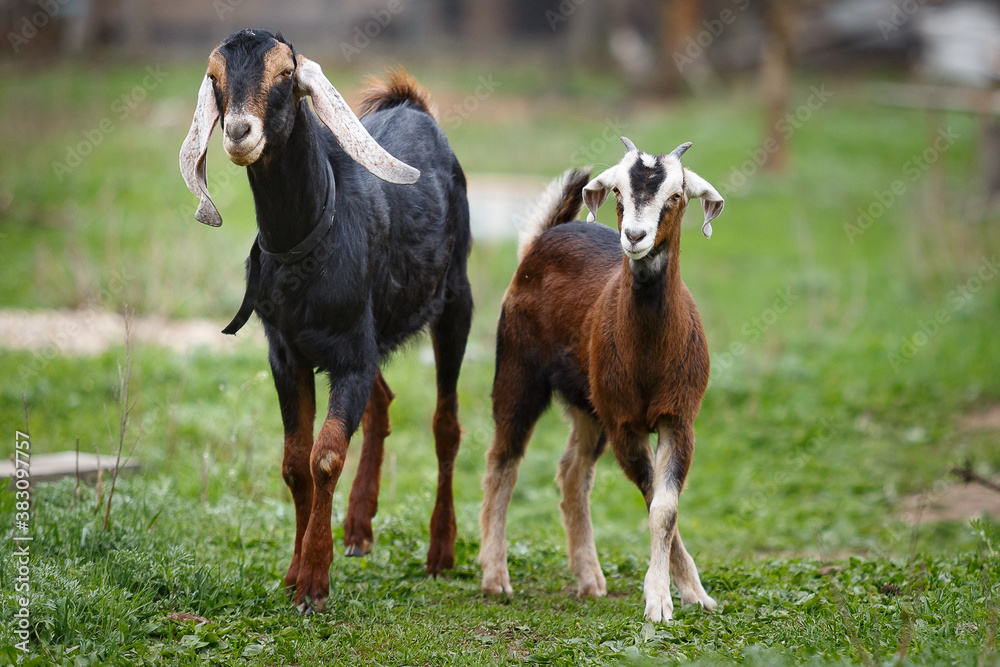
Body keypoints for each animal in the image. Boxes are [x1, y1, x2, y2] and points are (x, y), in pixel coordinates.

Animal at [179, 29, 473, 614]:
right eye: (216, 80)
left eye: (285, 75)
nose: (240, 133)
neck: (313, 238)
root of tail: (415, 106)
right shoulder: (288, 355)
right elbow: (295, 464)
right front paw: (294, 573)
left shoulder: (352, 358)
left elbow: (326, 457)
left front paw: (314, 581)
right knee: (383, 404)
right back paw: (359, 526)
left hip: (457, 301)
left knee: (445, 425)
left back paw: (440, 550)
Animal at [479, 138, 724, 622]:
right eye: (618, 193)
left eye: (675, 196)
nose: (634, 237)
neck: (648, 350)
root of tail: (542, 237)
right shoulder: (624, 423)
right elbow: (652, 497)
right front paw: (662, 599)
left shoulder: (678, 418)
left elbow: (665, 507)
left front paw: (691, 594)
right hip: (518, 373)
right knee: (503, 462)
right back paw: (496, 578)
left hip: (588, 403)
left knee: (573, 473)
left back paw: (590, 578)